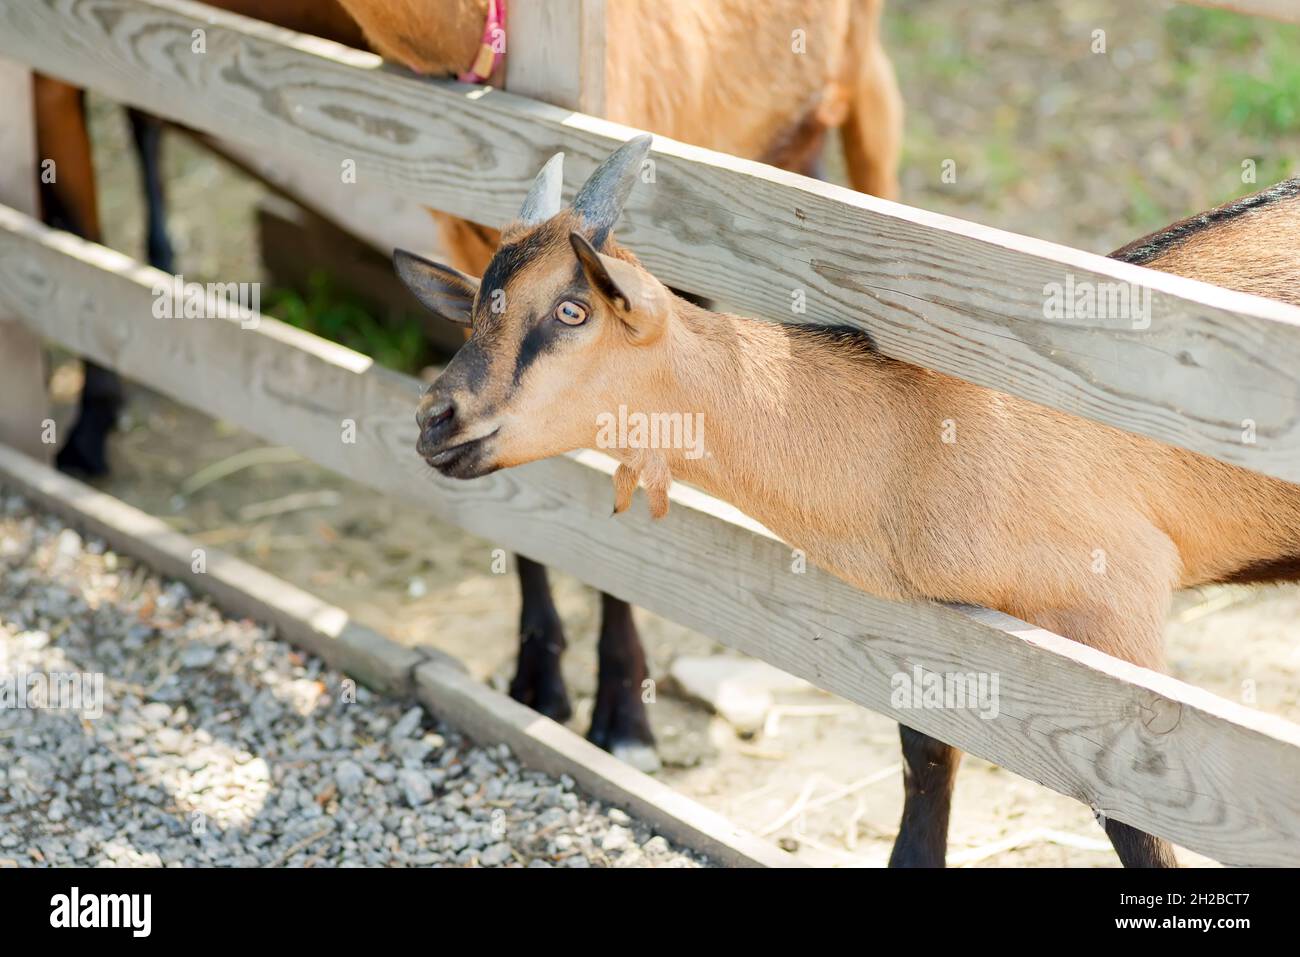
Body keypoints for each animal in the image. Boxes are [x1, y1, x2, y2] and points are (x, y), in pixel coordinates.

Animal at [392, 136, 1300, 868]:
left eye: (573, 308)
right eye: (475, 311)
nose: (435, 418)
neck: (922, 429)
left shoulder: (1119, 626)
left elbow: (1138, 819)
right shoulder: (943, 626)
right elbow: (925, 764)